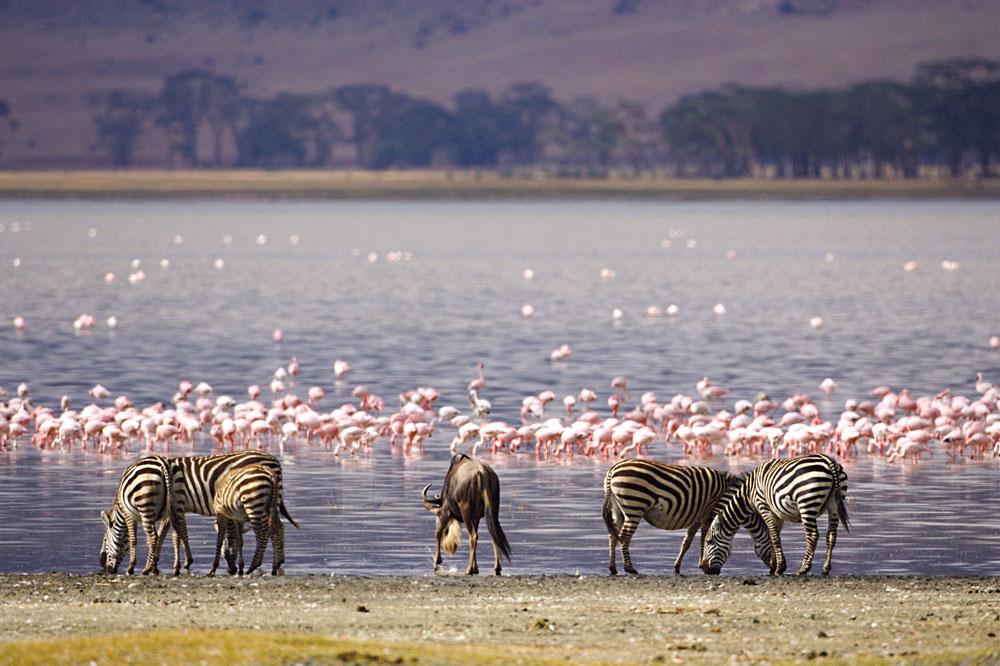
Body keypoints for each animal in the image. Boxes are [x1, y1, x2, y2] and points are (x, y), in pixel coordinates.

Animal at [154, 448, 298, 572]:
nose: (232, 570)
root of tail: (274, 459)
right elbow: (167, 532)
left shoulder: (177, 505)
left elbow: (176, 533)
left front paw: (182, 562)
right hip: (272, 501)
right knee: (279, 525)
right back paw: (278, 562)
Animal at [600, 460, 772, 572]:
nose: (775, 568)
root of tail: (613, 470)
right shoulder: (709, 513)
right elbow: (704, 537)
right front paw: (702, 563)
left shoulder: (698, 517)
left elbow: (687, 542)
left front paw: (677, 566)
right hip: (635, 506)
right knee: (624, 536)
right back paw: (629, 568)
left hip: (618, 510)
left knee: (612, 536)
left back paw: (612, 568)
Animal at [700, 452, 848, 576]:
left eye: (709, 541)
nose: (704, 569)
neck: (748, 494)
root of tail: (828, 461)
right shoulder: (777, 514)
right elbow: (773, 536)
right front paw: (776, 564)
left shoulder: (763, 506)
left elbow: (774, 537)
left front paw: (778, 567)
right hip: (834, 504)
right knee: (831, 535)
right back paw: (825, 569)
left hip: (806, 502)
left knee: (812, 535)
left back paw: (803, 569)